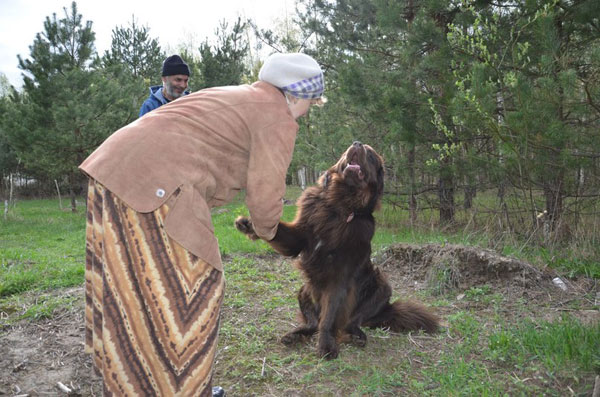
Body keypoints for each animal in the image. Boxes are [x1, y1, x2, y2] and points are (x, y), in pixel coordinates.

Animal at [234, 141, 436, 358]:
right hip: (304, 290)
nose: (356, 143)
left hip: (381, 288)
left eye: (370, 154)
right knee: (312, 322)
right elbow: (280, 232)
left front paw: (326, 344)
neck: (338, 206)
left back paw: (357, 335)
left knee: (351, 321)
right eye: (351, 148)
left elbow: (329, 316)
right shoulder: (299, 238)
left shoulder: (340, 275)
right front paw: (249, 225)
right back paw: (295, 335)